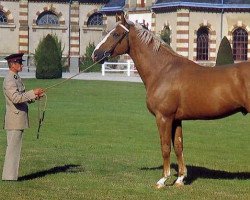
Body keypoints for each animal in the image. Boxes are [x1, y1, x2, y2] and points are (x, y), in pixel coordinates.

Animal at [92, 14, 250, 188]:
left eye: (115, 34)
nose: (95, 54)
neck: (163, 70)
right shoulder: (176, 119)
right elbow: (179, 146)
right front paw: (180, 178)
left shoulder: (164, 117)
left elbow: (166, 146)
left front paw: (163, 179)